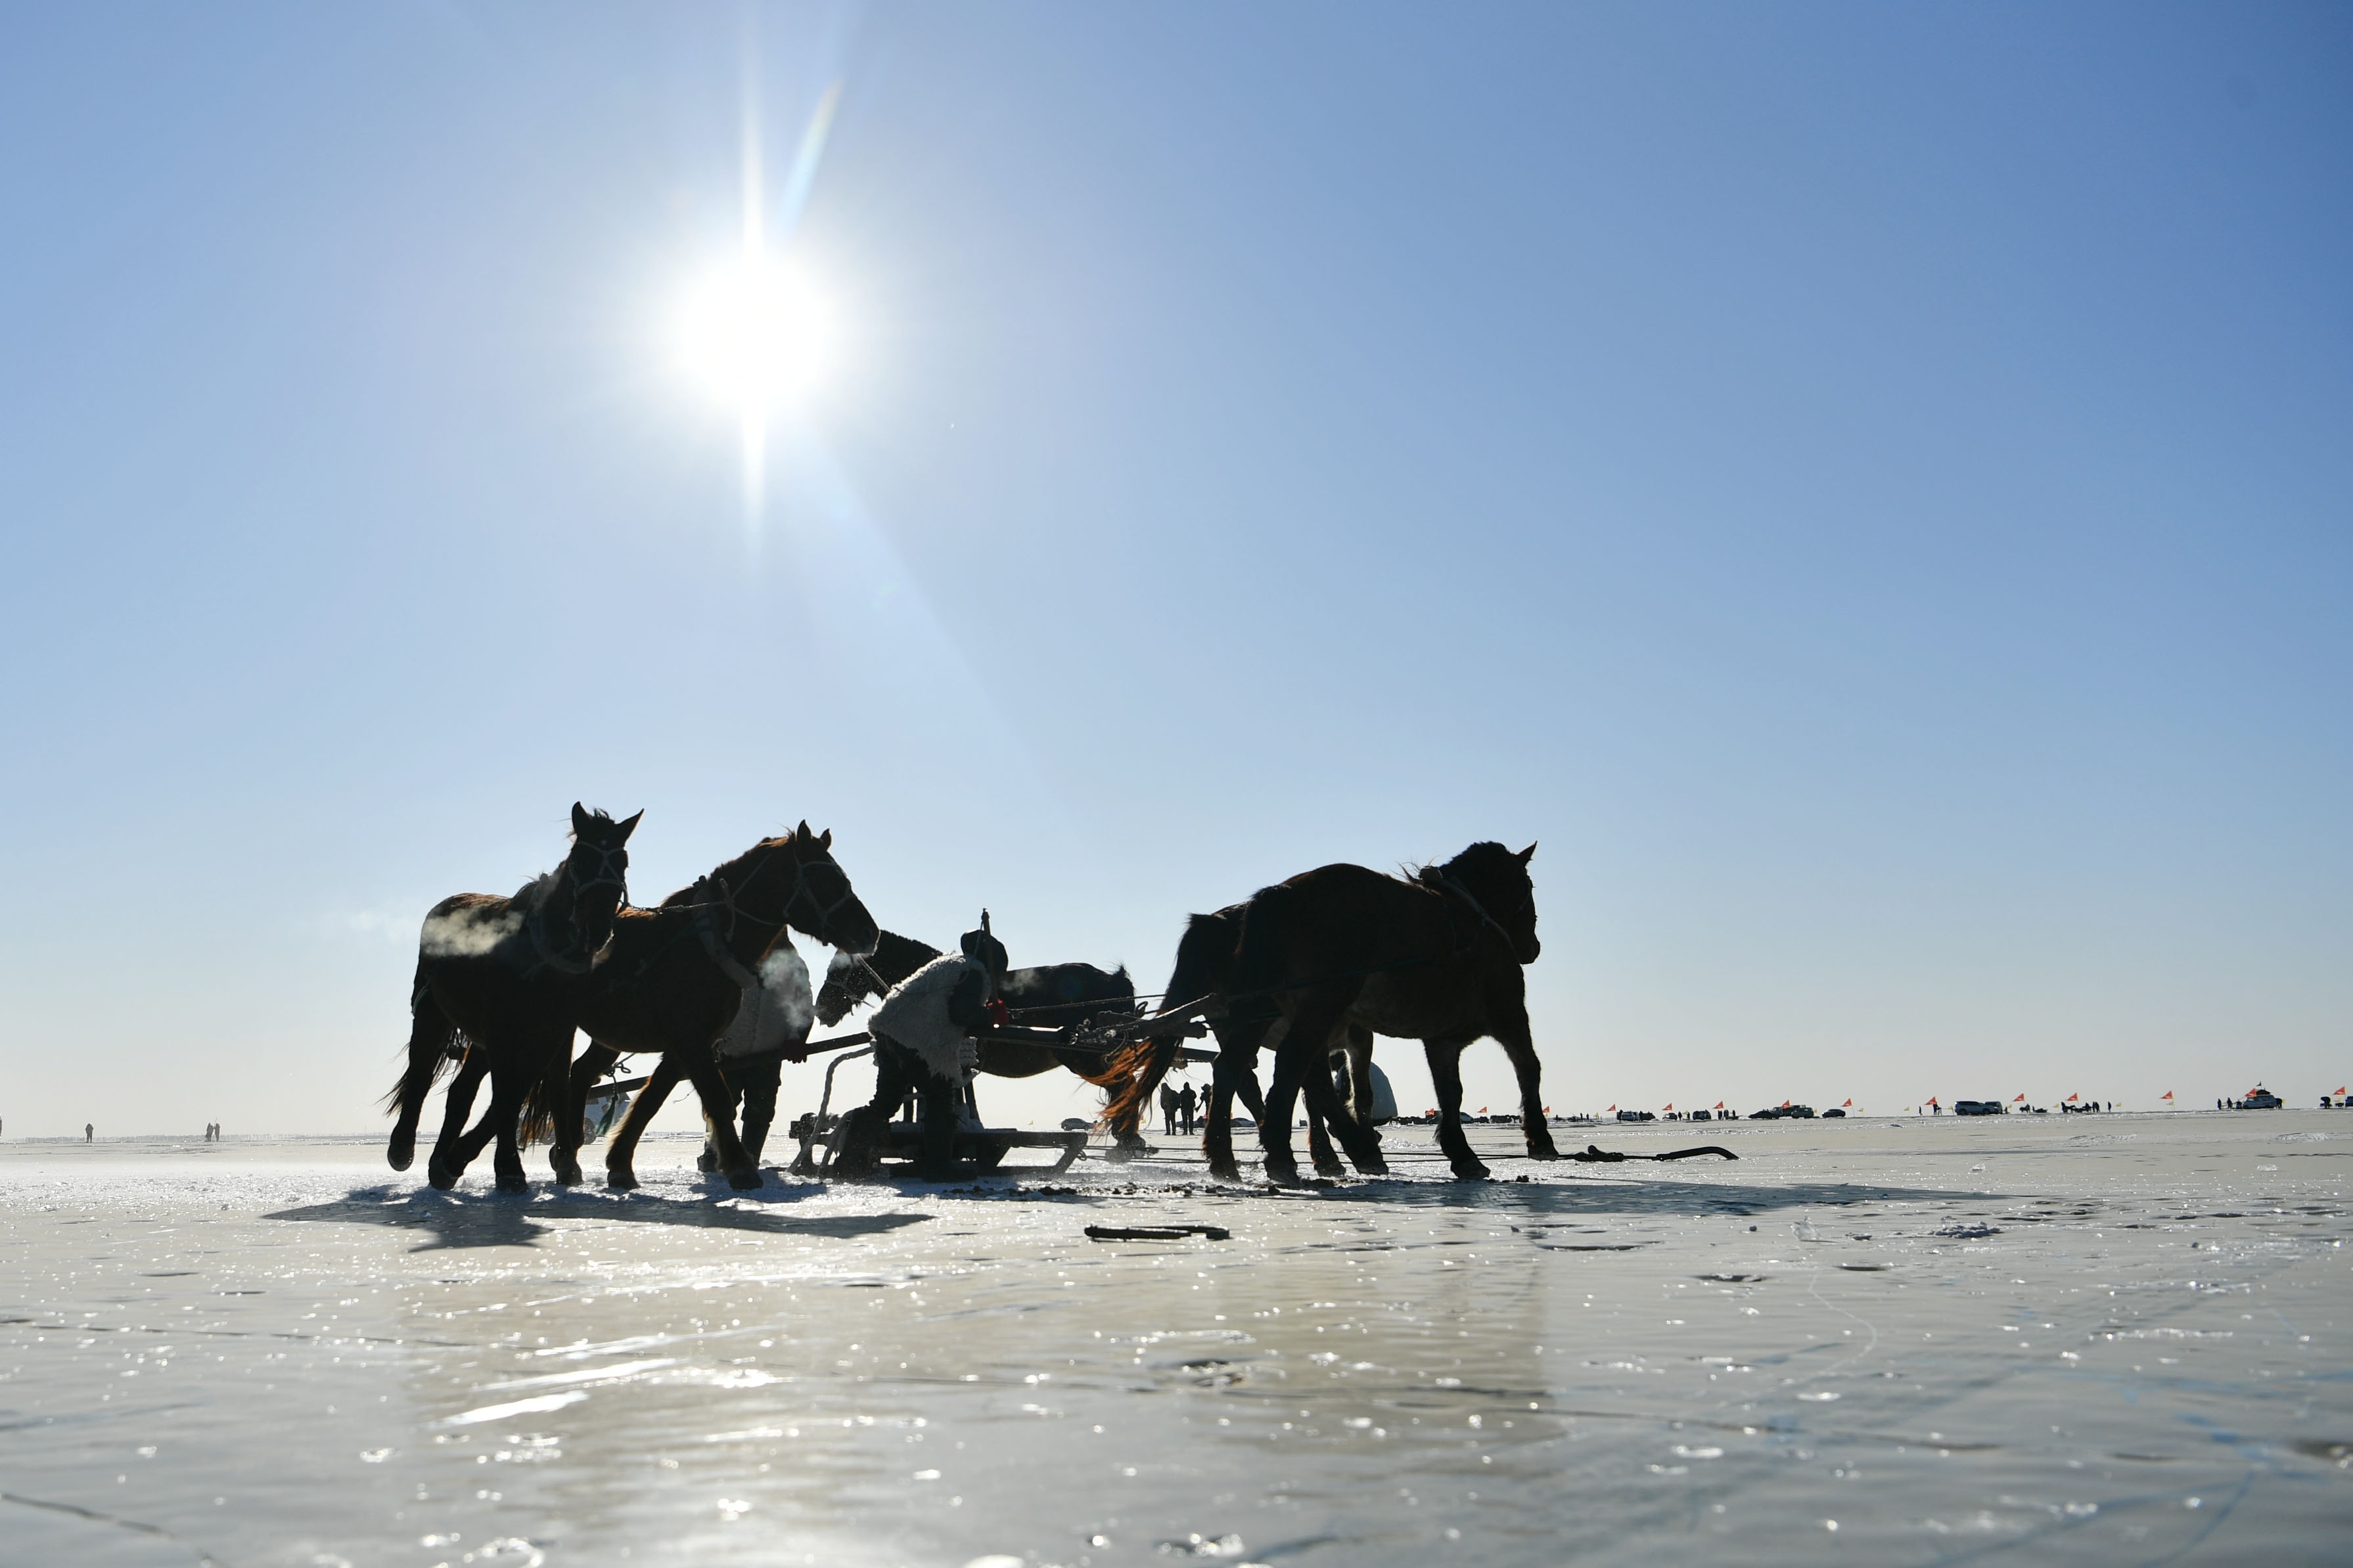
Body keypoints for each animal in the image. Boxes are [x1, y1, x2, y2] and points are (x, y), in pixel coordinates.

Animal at [386, 809, 645, 1189]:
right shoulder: (502, 1028)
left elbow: (551, 1086)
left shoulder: (556, 1030)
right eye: (579, 861)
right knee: (420, 1071)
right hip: (433, 1013)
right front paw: (508, 1167)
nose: (598, 929)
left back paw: (440, 1161)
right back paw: (403, 1147)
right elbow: (507, 1092)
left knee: (462, 1093)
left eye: (622, 863)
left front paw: (565, 1162)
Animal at [1233, 846, 1543, 1175]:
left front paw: (1461, 1153)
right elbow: (1528, 1068)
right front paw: (1539, 1139)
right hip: (1324, 1005)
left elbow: (1449, 1092)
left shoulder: (1442, 1038)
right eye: (1529, 886)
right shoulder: (1509, 1012)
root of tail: (1278, 894)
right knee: (1296, 1065)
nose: (1533, 947)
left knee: (1299, 1073)